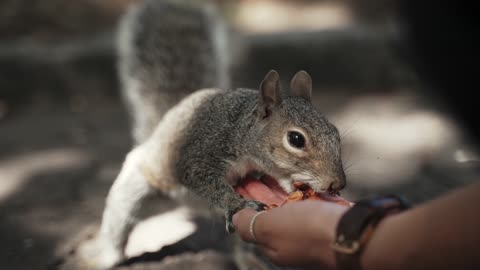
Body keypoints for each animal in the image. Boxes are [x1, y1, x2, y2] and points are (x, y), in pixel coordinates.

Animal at [70, 1, 344, 268]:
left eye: (336, 132)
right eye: (296, 139)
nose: (337, 184)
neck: (242, 134)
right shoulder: (202, 149)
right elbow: (201, 178)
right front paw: (236, 203)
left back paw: (249, 261)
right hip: (137, 184)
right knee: (120, 220)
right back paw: (105, 257)